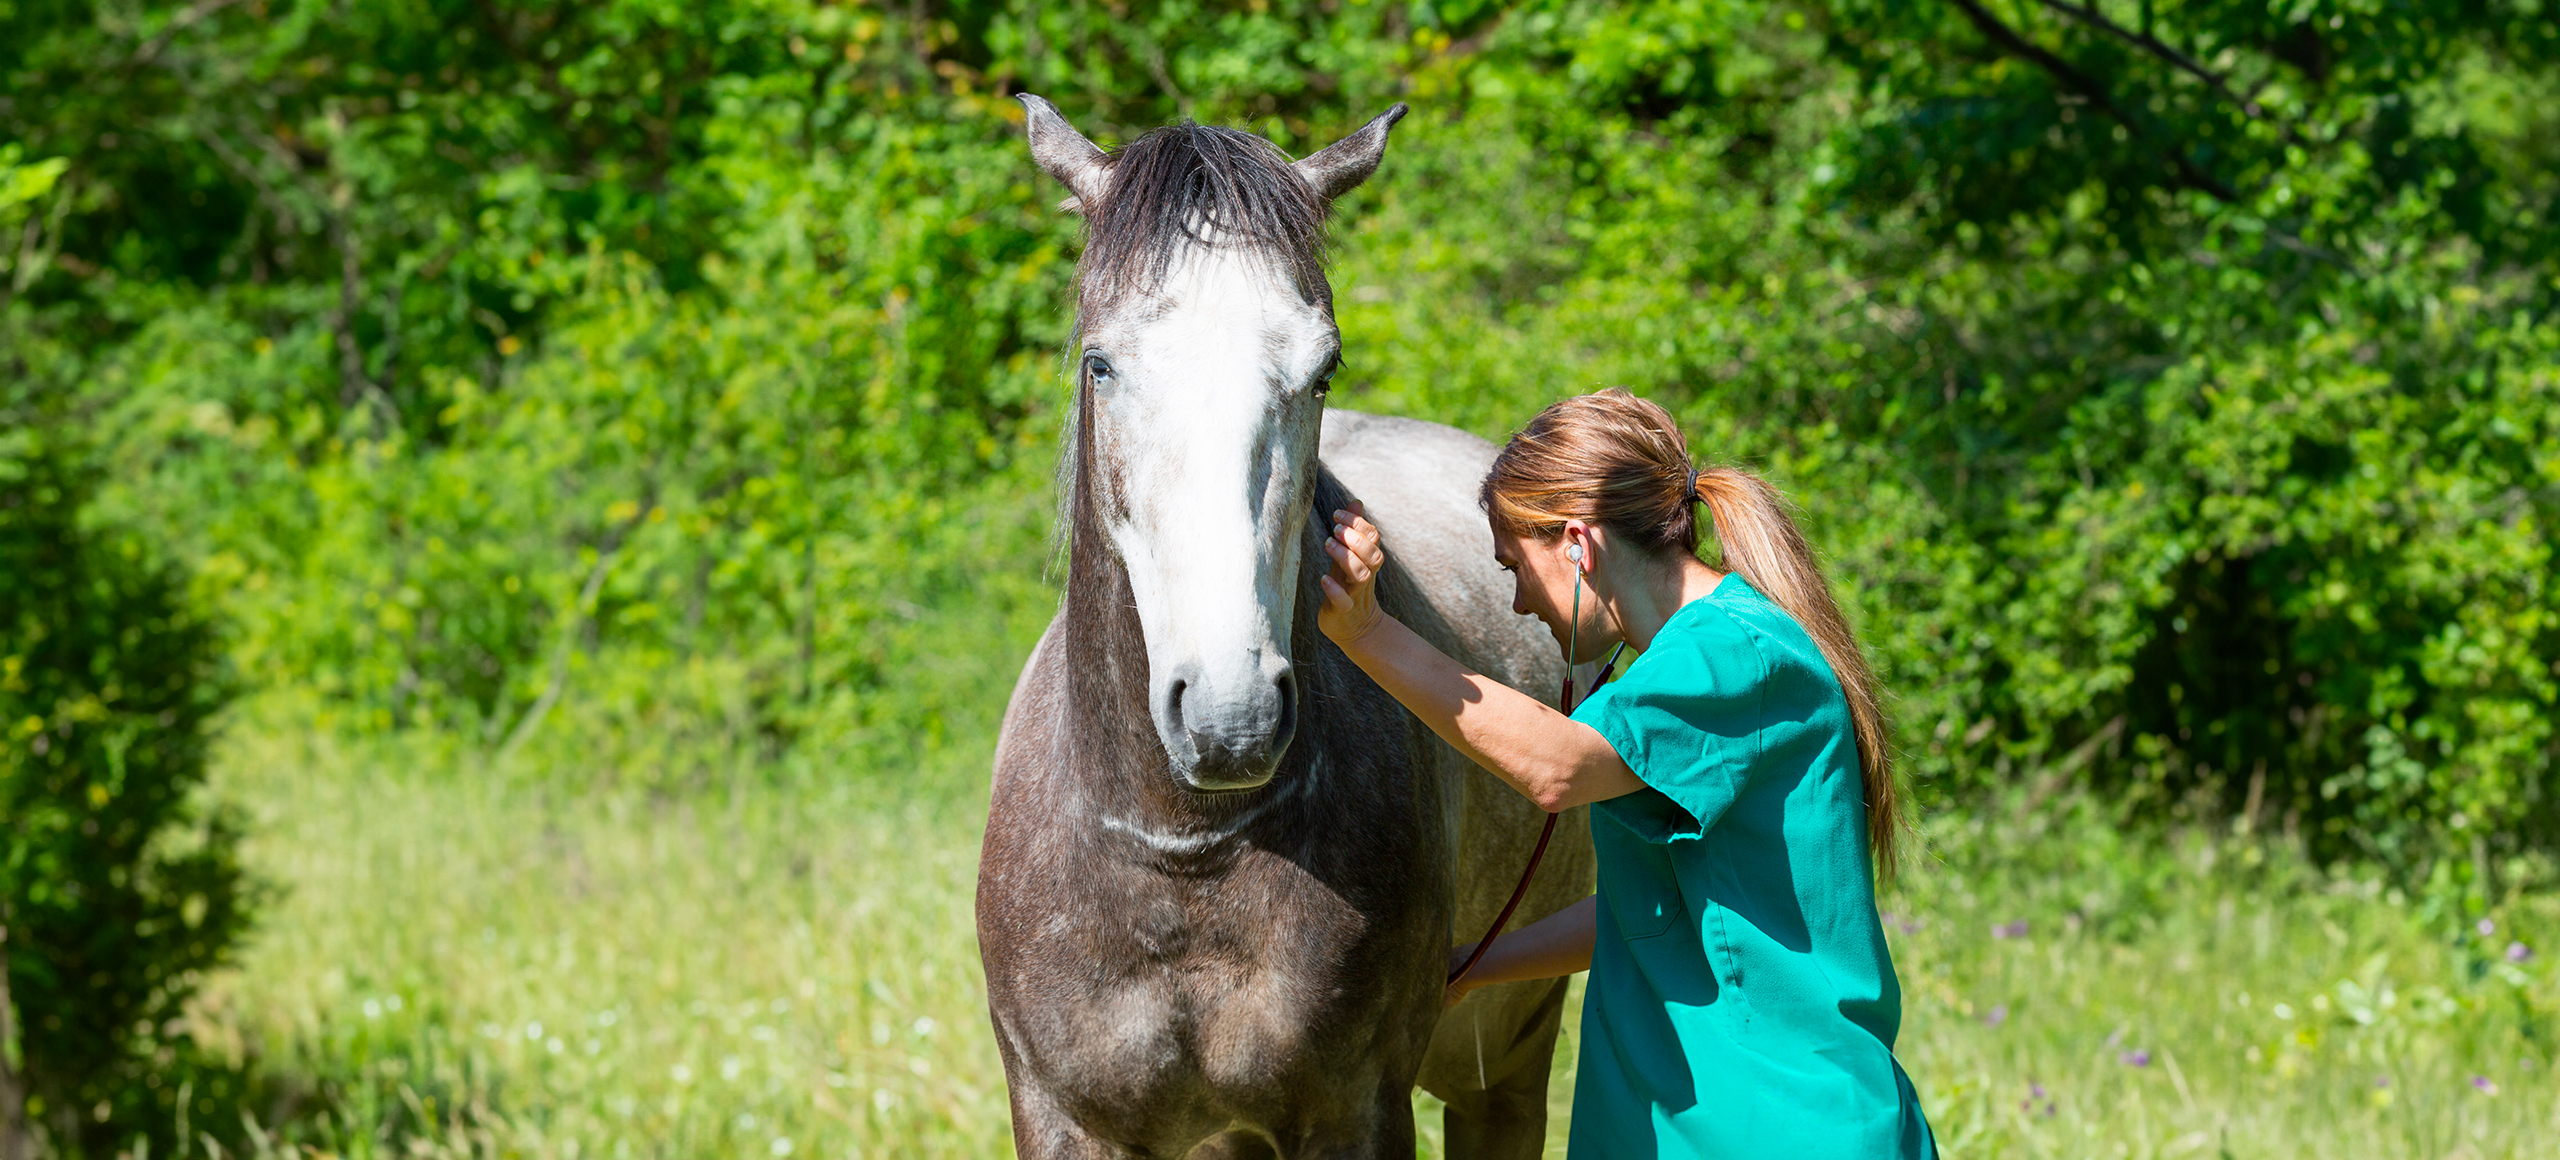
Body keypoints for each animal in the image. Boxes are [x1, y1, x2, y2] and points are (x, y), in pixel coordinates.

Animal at [972, 94, 1587, 1152]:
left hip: (1501, 1064)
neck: (1181, 857)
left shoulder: (1356, 1111)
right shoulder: (1063, 1118)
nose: (1230, 719)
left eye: (1324, 369)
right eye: (1100, 363)